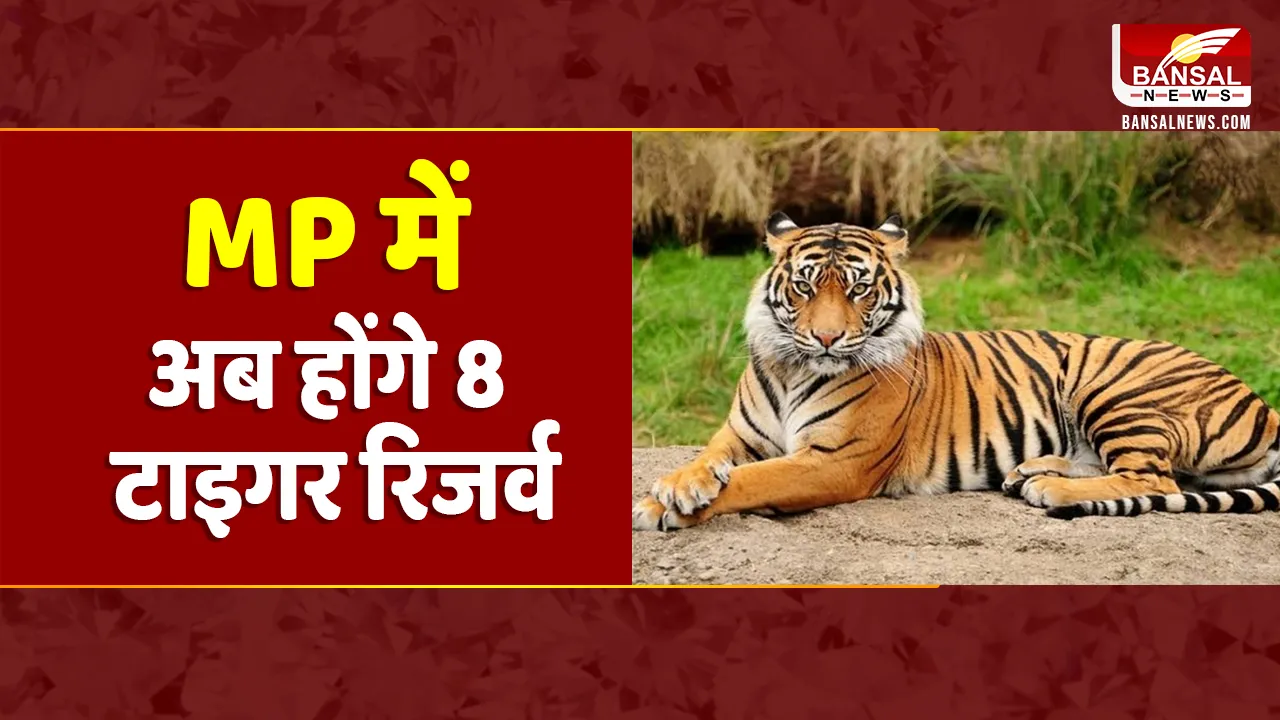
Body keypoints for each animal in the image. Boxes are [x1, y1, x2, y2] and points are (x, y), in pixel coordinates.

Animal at [632, 212, 1280, 531]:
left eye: (859, 289)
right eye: (805, 286)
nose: (827, 337)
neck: (794, 369)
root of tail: (1265, 406)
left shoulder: (836, 461)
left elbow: (753, 481)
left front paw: (663, 508)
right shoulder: (738, 434)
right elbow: (710, 460)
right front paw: (675, 487)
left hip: (1115, 389)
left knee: (1155, 480)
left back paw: (1049, 487)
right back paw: (1031, 471)